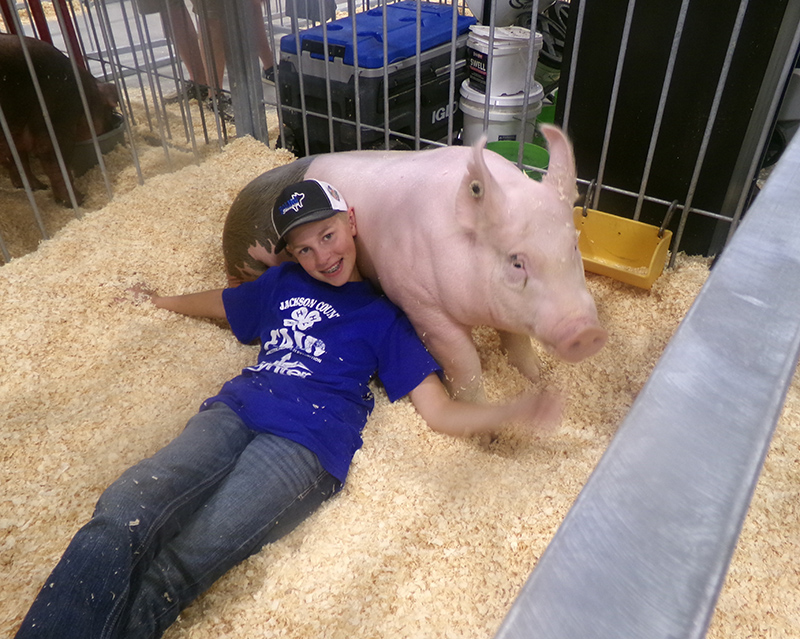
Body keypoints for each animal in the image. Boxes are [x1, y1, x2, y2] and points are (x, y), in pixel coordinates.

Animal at [222, 125, 604, 400]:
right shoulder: (421, 304)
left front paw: (536, 380)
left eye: (573, 246)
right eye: (516, 262)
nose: (586, 331)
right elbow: (463, 362)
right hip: (244, 255)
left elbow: (518, 343)